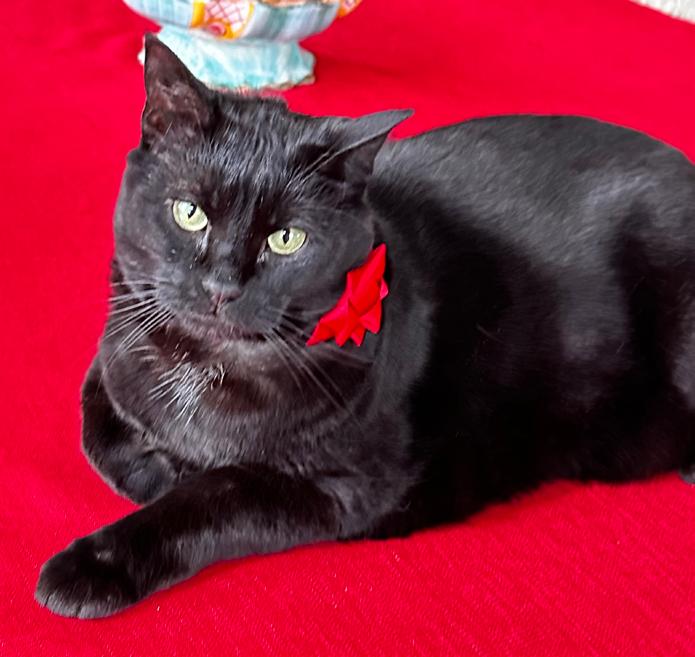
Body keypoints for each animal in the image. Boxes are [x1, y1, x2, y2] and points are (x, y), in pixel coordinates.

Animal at [35, 35, 695, 618]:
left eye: (287, 239)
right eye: (189, 213)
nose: (222, 285)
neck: (210, 369)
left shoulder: (340, 487)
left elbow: (208, 500)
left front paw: (94, 565)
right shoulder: (113, 353)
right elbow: (98, 428)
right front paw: (155, 467)